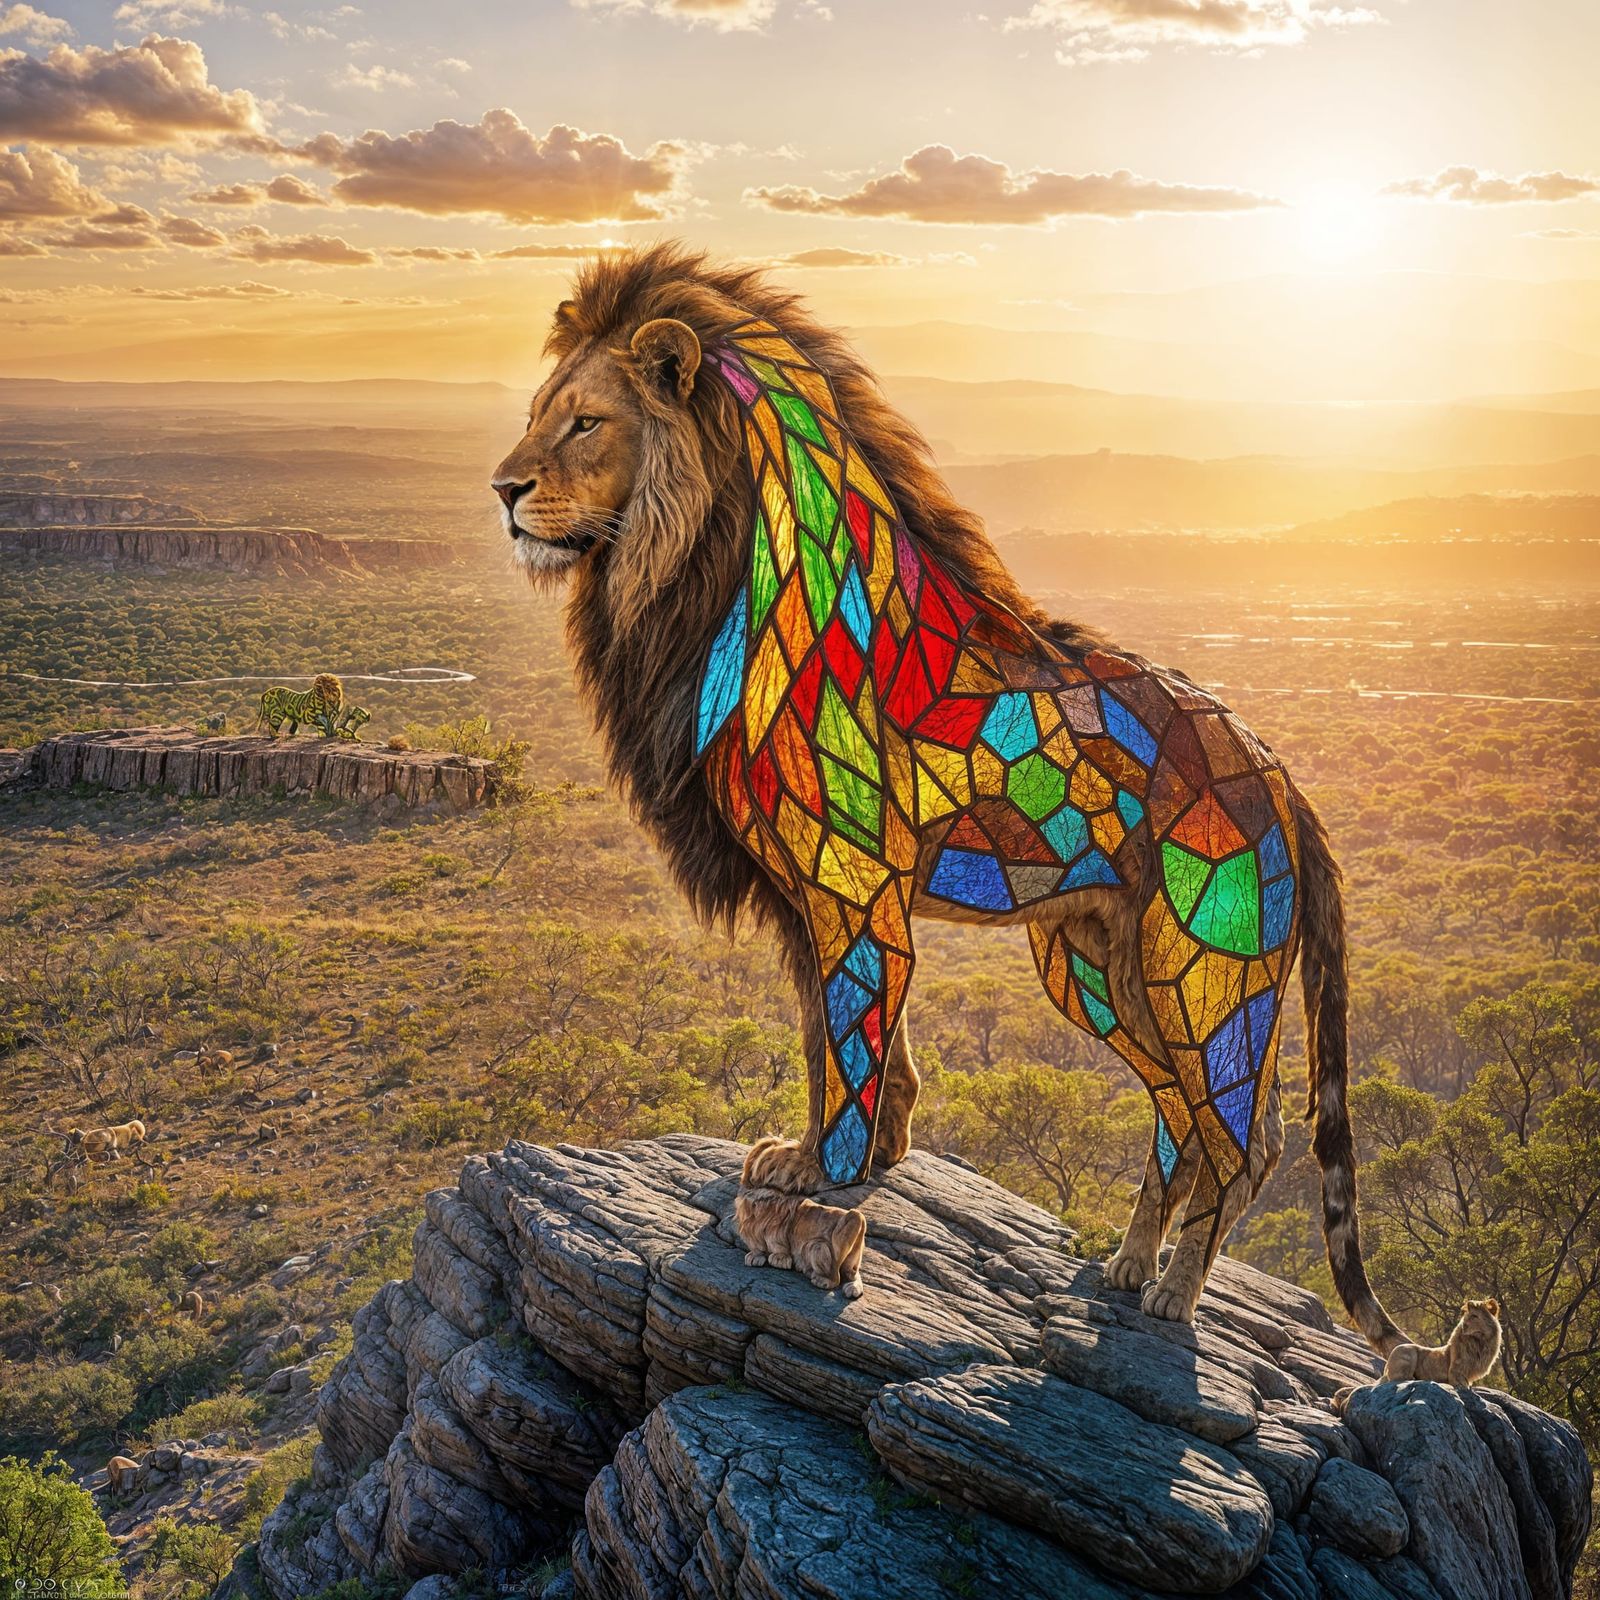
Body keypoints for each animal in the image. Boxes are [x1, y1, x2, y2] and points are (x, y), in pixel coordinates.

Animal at [490, 242, 1412, 1341]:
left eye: (586, 420)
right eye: (538, 410)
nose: (501, 489)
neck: (706, 584)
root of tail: (1280, 775)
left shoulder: (851, 888)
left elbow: (850, 1043)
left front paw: (826, 1186)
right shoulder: (811, 898)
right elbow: (831, 1040)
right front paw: (836, 1157)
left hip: (1207, 974)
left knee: (1246, 1137)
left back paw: (1177, 1292)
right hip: (1094, 968)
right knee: (1177, 1119)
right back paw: (1126, 1267)